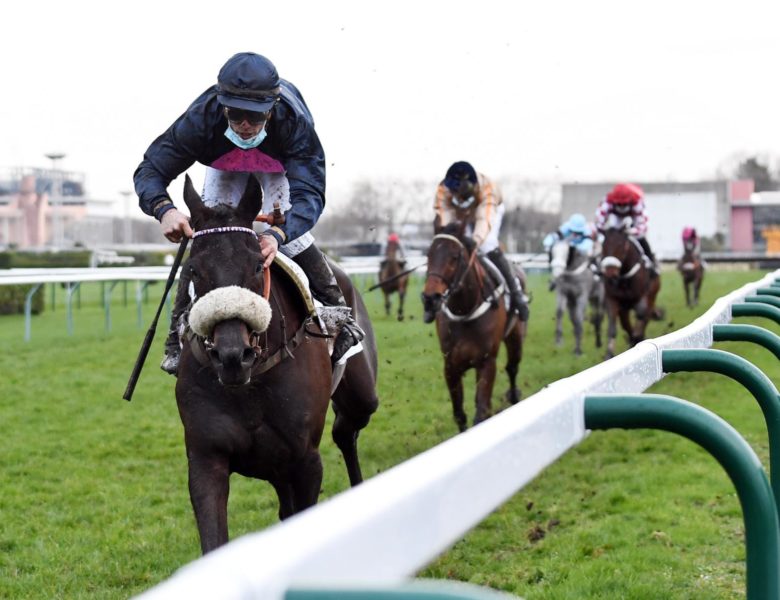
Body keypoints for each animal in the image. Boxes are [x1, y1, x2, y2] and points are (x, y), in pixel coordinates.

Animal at [173, 175, 378, 552]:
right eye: (193, 269)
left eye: (257, 265)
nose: (231, 356)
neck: (252, 382)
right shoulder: (206, 458)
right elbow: (214, 539)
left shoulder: (306, 461)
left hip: (361, 395)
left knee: (346, 430)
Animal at [420, 227, 524, 434]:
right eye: (428, 255)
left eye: (454, 257)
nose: (430, 298)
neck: (465, 311)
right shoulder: (450, 366)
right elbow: (459, 413)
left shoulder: (486, 362)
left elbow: (481, 412)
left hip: (515, 337)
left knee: (512, 368)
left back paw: (514, 397)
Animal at [600, 223, 660, 358]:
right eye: (604, 246)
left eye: (621, 245)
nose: (610, 274)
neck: (624, 277)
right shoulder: (612, 299)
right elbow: (613, 327)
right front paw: (609, 353)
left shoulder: (641, 298)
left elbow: (641, 315)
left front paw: (637, 338)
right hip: (624, 308)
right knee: (626, 323)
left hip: (652, 296)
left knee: (646, 316)